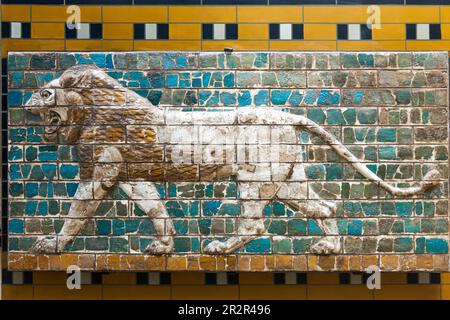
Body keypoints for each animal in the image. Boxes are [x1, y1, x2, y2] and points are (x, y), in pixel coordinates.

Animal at [22, 65, 442, 255]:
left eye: (44, 93)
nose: (25, 104)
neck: (89, 111)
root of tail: (288, 116)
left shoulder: (98, 174)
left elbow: (77, 212)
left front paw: (53, 244)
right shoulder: (129, 175)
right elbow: (155, 207)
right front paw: (163, 246)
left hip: (256, 181)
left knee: (256, 225)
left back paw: (221, 248)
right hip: (288, 182)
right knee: (325, 207)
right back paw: (328, 249)